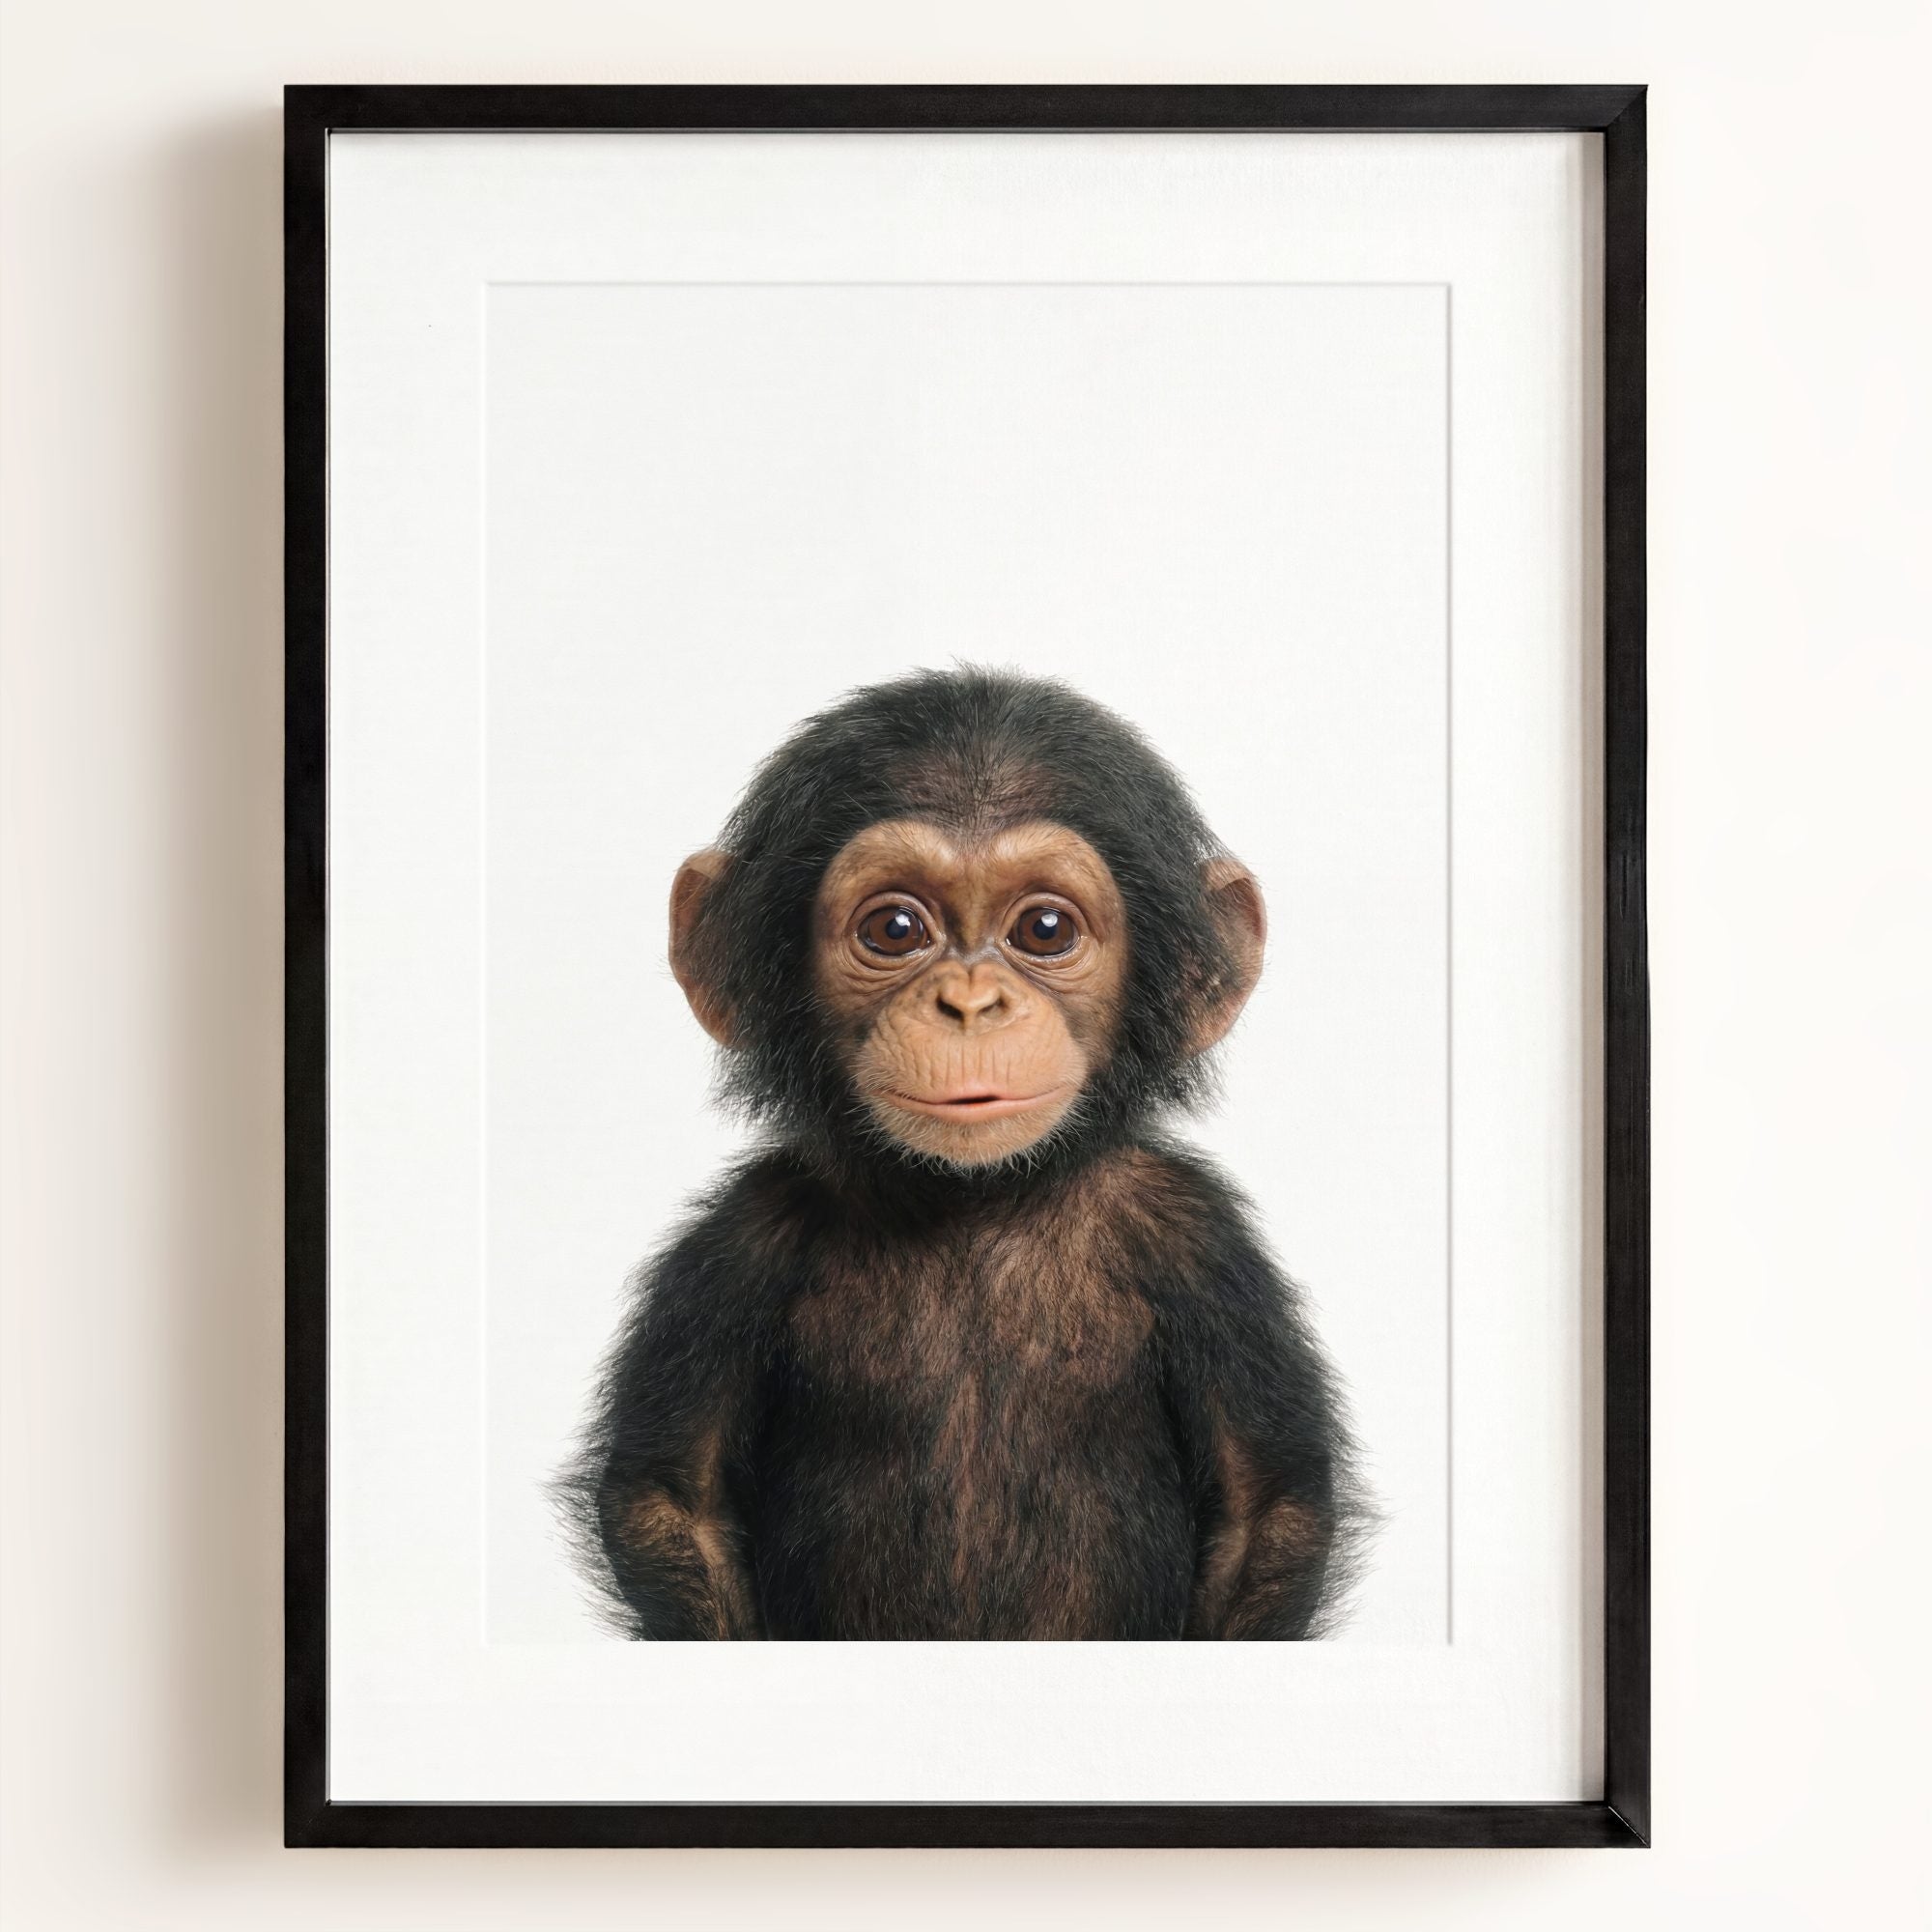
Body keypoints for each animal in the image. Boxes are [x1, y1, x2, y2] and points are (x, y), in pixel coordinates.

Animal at [564, 667, 1366, 1640]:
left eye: (1046, 929)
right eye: (896, 929)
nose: (972, 1003)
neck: (972, 1199)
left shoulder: (1199, 1241)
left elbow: (1266, 1510)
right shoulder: (738, 1245)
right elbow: (672, 1501)